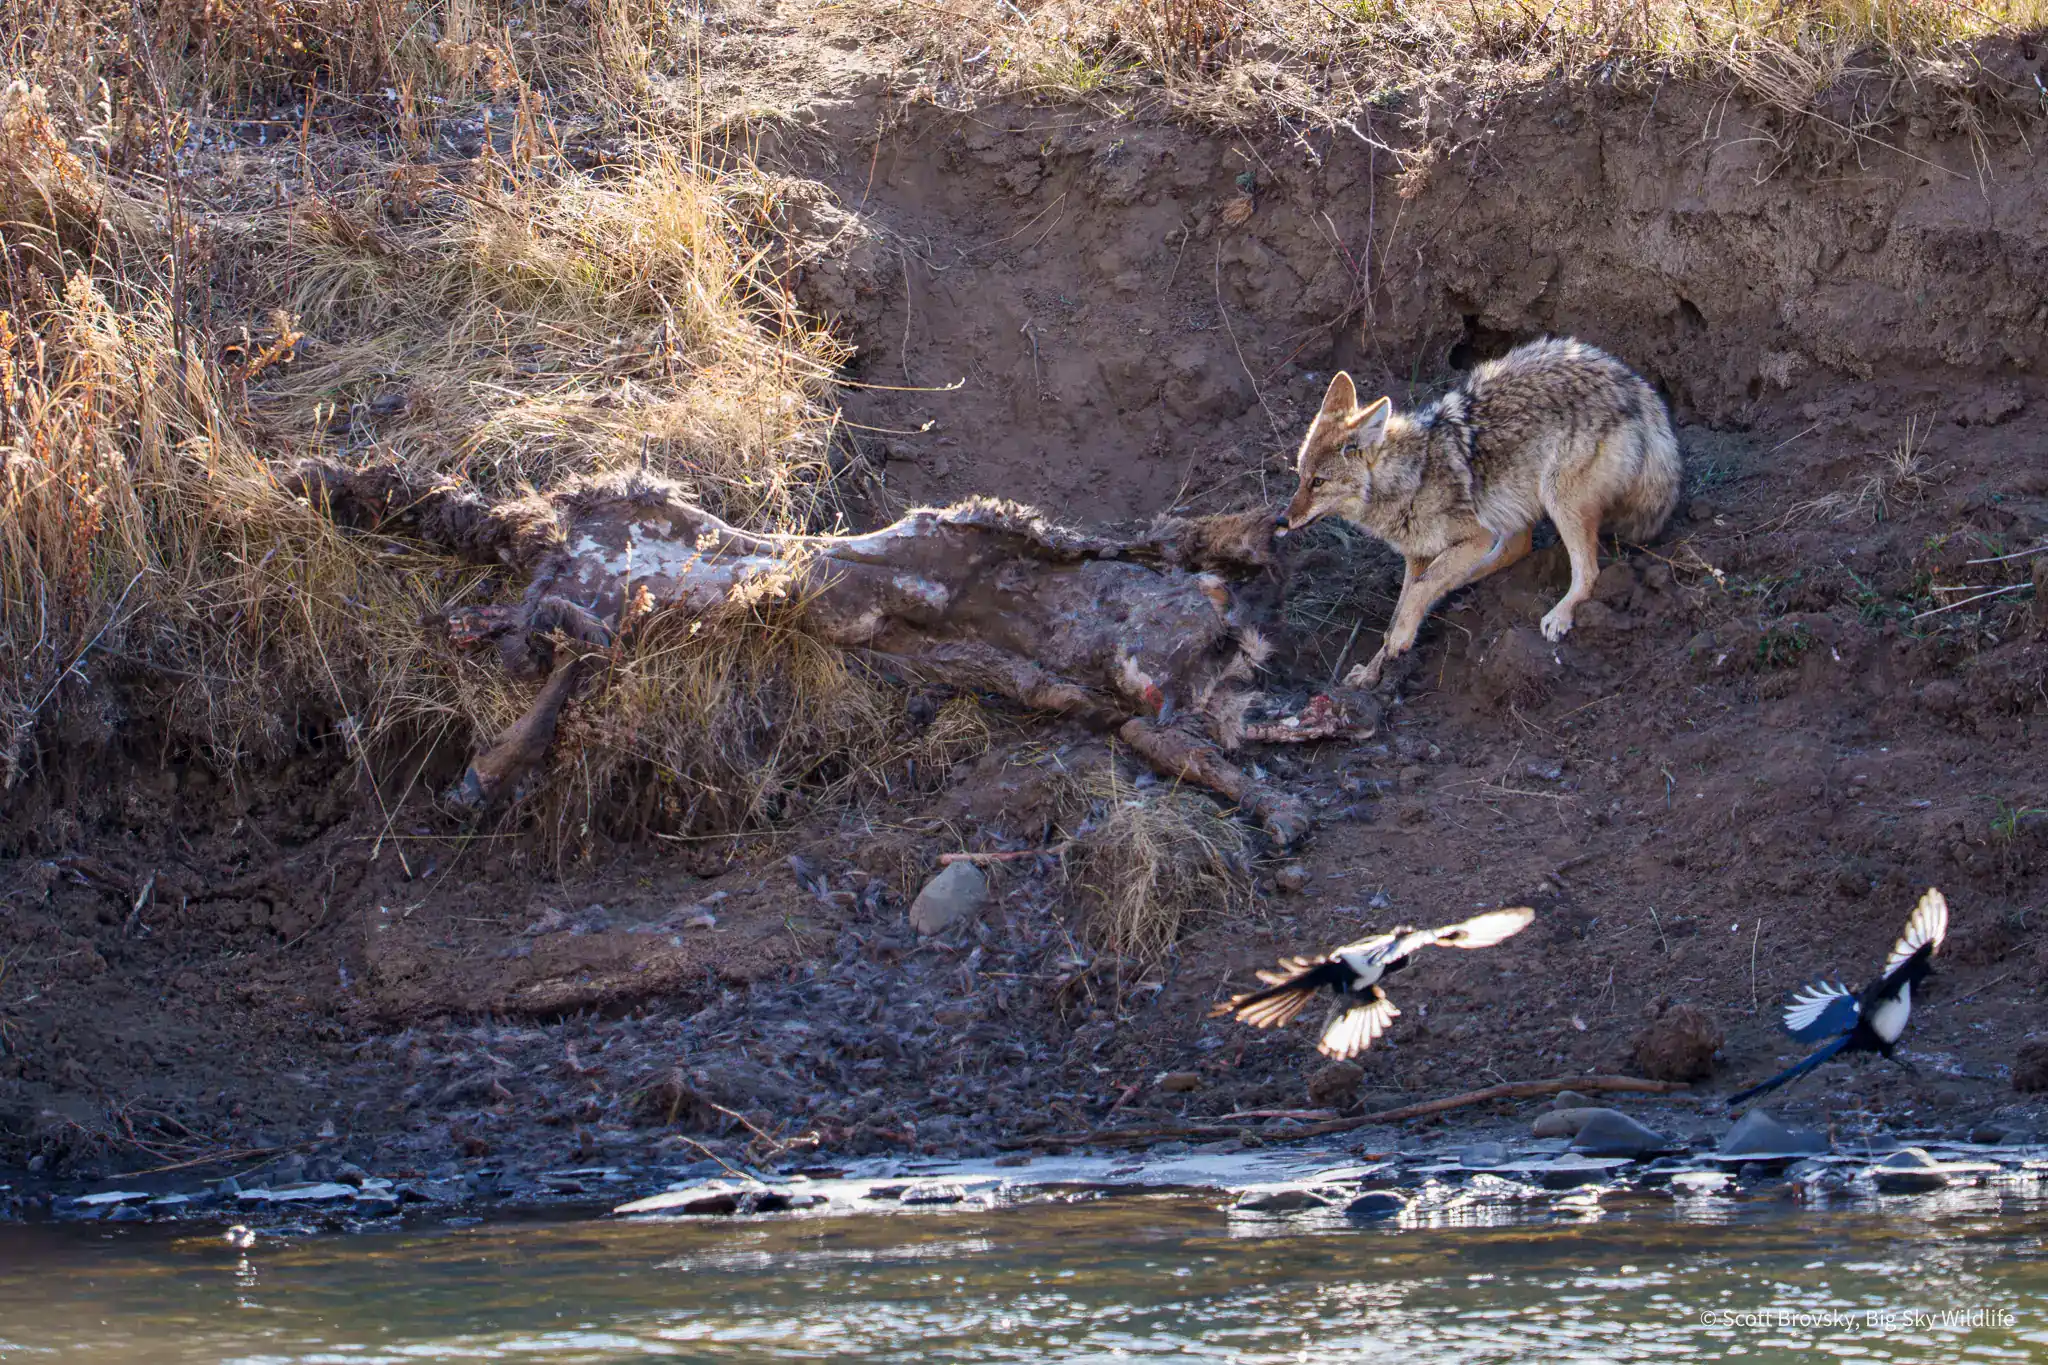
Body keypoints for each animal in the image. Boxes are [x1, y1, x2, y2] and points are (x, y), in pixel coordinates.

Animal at [1275, 338, 1680, 686]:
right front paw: (1374, 669)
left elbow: (1416, 595)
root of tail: (1637, 387)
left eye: (1318, 483)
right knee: (1513, 551)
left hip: (1556, 498)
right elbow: (1403, 605)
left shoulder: (1475, 536)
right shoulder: (1418, 557)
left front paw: (1400, 641)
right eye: (1300, 477)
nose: (1282, 520)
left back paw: (1560, 614)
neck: (1412, 476)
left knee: (1587, 571)